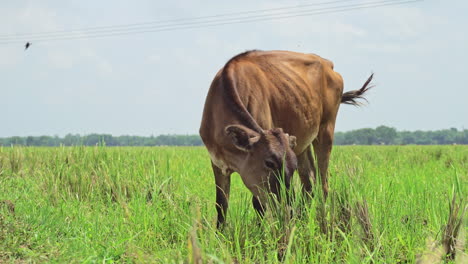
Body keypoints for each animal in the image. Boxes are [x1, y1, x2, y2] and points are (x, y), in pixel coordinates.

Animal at [198, 50, 372, 227]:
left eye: (291, 167)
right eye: (269, 163)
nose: (288, 207)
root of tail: (328, 64)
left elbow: (258, 205)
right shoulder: (217, 164)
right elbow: (221, 204)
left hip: (326, 130)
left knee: (323, 185)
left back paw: (322, 221)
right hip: (303, 144)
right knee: (309, 181)